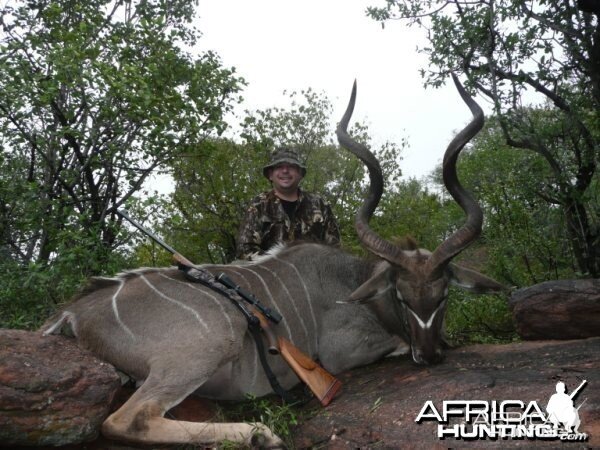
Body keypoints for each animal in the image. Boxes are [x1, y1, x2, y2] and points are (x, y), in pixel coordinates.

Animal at [42, 74, 504, 446]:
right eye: (403, 297)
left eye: (443, 296)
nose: (429, 356)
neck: (351, 279)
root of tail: (73, 314)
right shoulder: (342, 352)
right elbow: (389, 345)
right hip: (206, 346)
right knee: (127, 419)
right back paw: (259, 434)